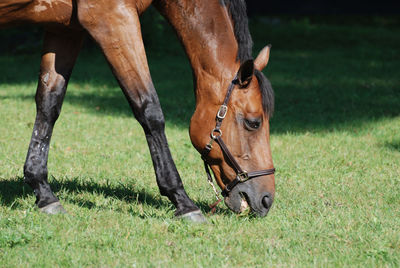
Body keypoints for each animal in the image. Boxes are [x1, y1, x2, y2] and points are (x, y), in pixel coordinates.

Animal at [0, 0, 276, 222]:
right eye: (253, 122)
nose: (266, 199)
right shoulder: (112, 18)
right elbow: (149, 109)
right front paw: (182, 201)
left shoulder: (65, 29)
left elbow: (49, 104)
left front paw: (44, 192)